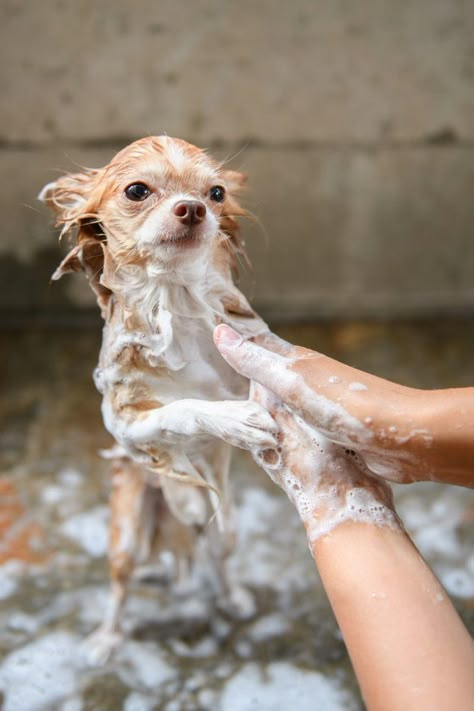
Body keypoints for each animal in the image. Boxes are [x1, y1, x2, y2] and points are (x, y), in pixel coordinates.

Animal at [40, 138, 280, 660]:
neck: (174, 303)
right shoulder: (127, 424)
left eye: (216, 193)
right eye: (137, 190)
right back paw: (107, 637)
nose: (192, 208)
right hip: (129, 531)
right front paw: (234, 419)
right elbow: (185, 409)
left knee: (217, 557)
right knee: (121, 585)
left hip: (223, 525)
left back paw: (232, 596)